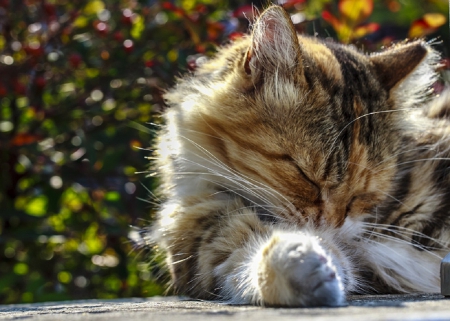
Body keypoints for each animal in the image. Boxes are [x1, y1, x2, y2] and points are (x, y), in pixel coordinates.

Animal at [151, 4, 450, 304]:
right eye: (307, 177)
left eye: (361, 196)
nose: (332, 226)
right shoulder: (196, 227)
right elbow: (242, 250)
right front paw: (297, 263)